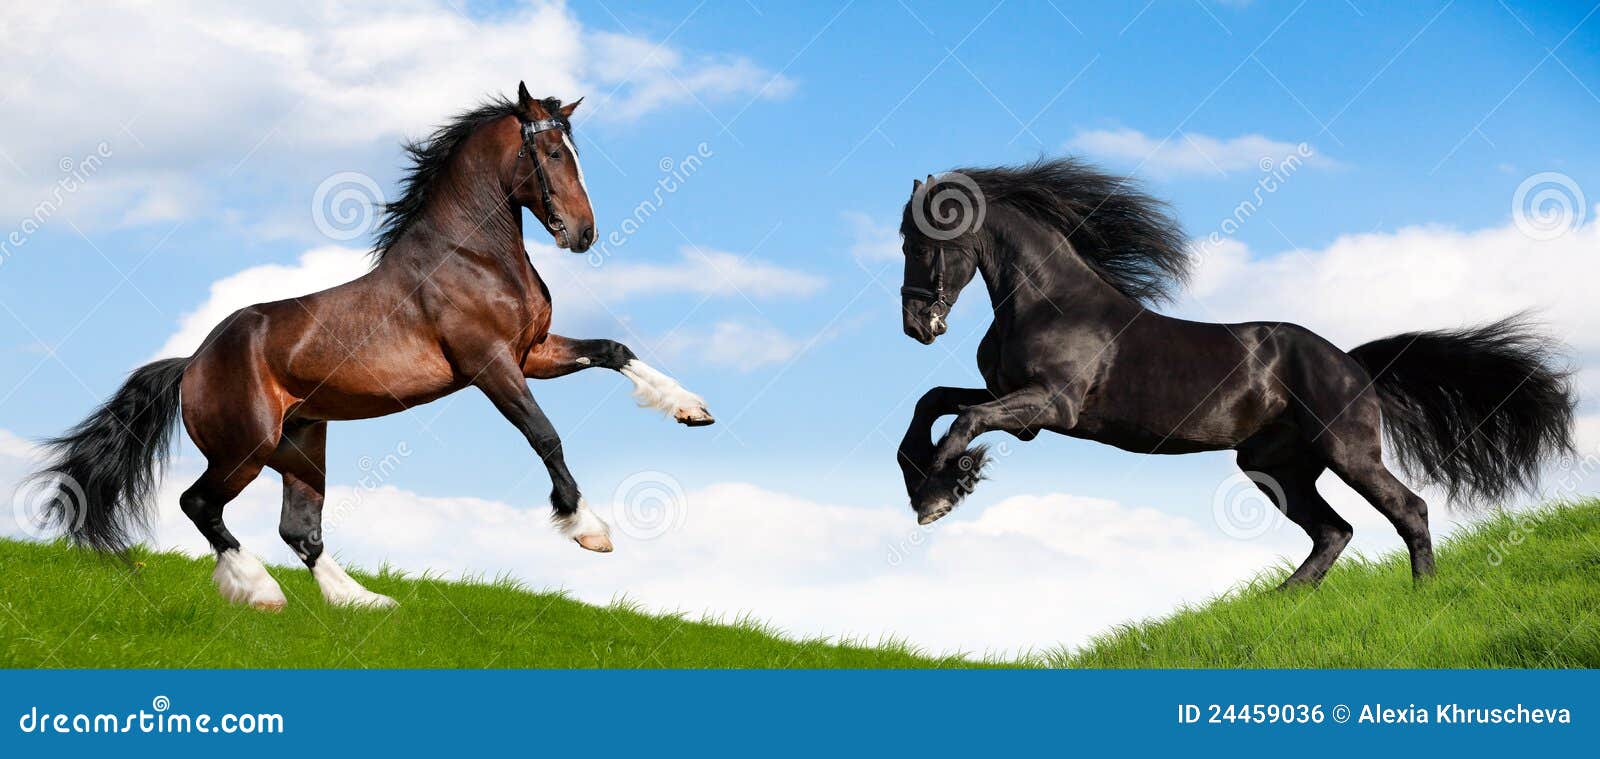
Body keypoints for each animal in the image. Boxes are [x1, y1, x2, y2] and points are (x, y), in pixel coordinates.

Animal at [31, 83, 715, 611]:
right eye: (549, 151)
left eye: (576, 151)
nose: (583, 233)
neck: (473, 256)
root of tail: (192, 364)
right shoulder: (492, 365)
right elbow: (545, 436)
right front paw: (589, 530)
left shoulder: (534, 353)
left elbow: (614, 350)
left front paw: (692, 409)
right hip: (246, 447)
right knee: (199, 504)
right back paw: (262, 592)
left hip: (302, 444)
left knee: (300, 530)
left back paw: (363, 601)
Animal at [895, 158, 1575, 587]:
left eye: (921, 241)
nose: (916, 325)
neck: (1050, 302)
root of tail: (1353, 364)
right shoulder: (1018, 402)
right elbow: (934, 403)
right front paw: (931, 482)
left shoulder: (1049, 407)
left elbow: (964, 418)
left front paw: (941, 492)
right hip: (1275, 465)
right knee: (1334, 531)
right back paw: (1280, 602)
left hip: (1348, 452)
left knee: (1409, 510)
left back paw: (1423, 595)